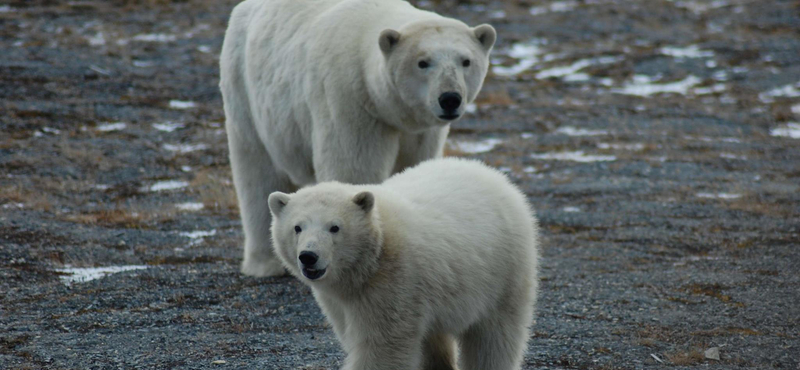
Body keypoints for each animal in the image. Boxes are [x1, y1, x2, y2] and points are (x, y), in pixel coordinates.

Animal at [219, 0, 494, 278]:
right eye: (422, 62)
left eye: (466, 61)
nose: (450, 98)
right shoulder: (351, 102)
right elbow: (354, 169)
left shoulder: (420, 131)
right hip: (245, 88)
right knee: (257, 171)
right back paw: (265, 264)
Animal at [268, 159, 536, 370]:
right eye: (297, 227)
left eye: (334, 227)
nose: (308, 256)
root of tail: (494, 175)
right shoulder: (341, 302)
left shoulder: (394, 284)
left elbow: (382, 346)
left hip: (504, 272)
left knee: (493, 337)